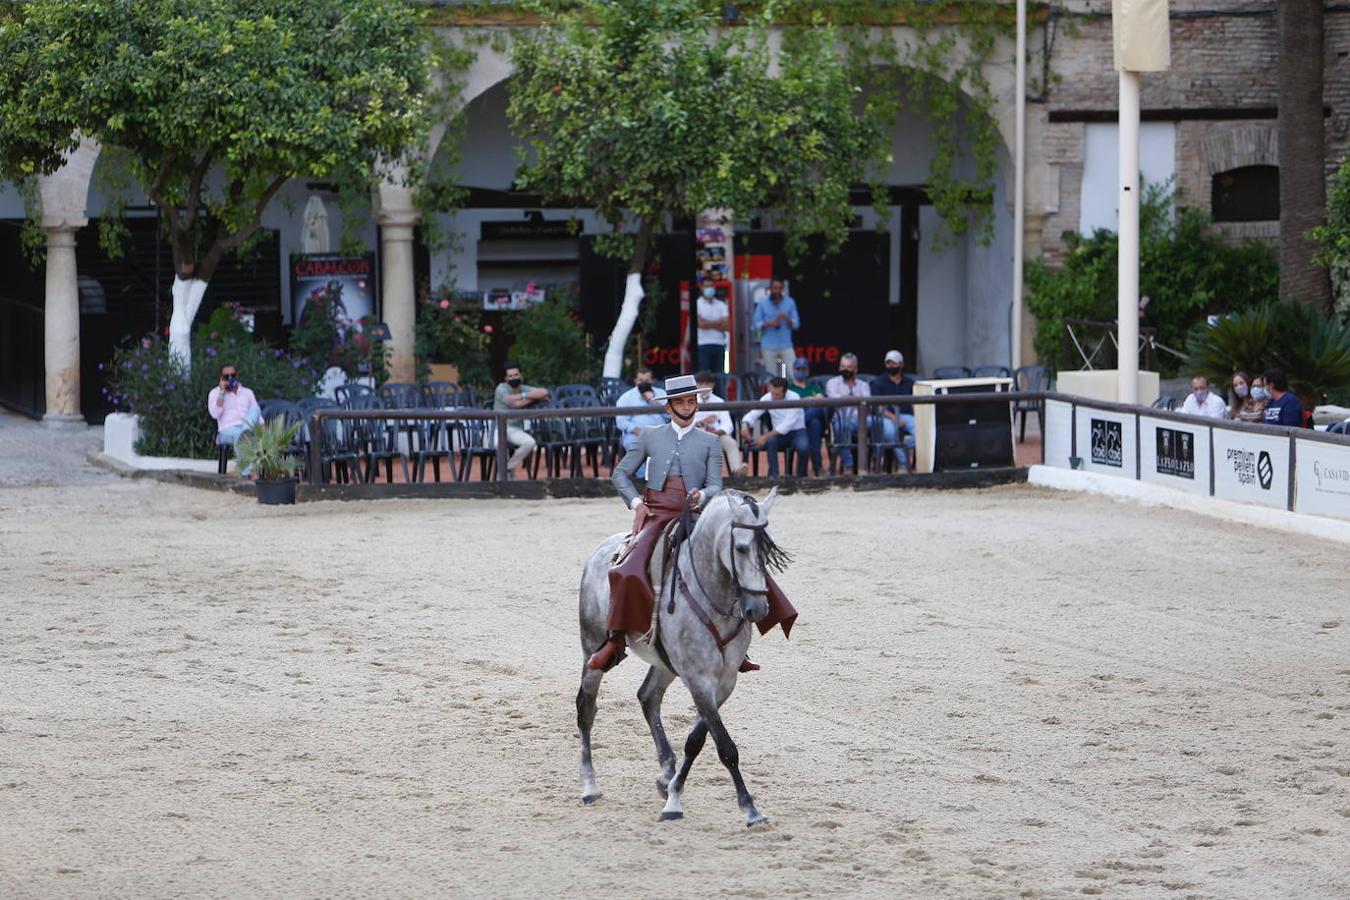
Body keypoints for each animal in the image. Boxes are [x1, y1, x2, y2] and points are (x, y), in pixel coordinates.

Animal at [572, 488, 788, 825]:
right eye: (740, 548)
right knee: (586, 709)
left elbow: (696, 739)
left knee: (648, 697)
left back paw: (665, 773)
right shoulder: (698, 679)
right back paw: (590, 786)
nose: (758, 609)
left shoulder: (723, 681)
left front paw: (673, 794)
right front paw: (750, 809)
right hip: (592, 650)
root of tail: (601, 549)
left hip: (666, 665)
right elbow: (725, 745)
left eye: (767, 549)